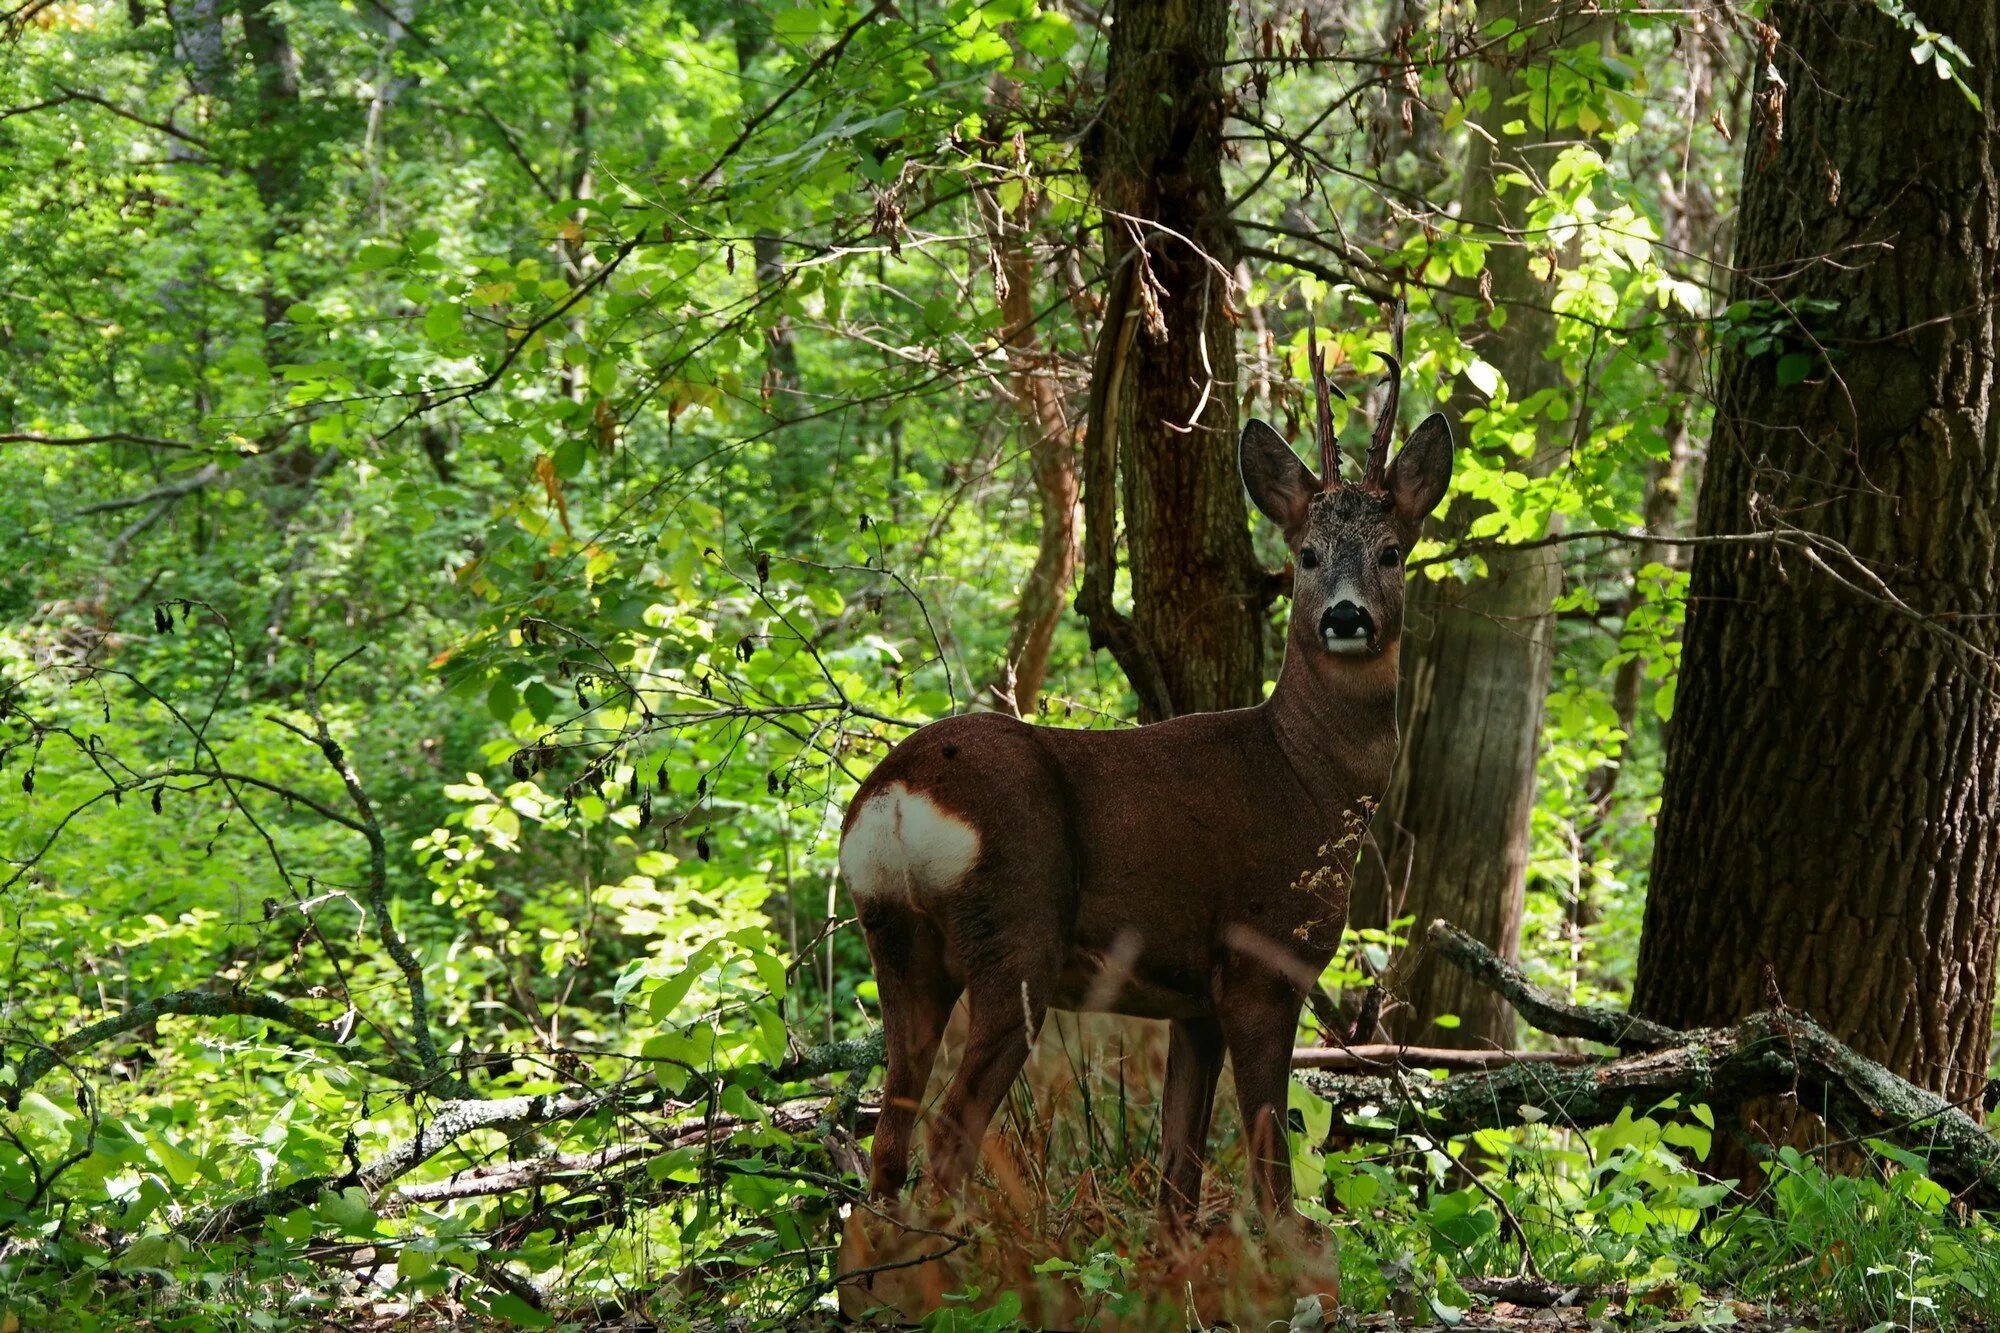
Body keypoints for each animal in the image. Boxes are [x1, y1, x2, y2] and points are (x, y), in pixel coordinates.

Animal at [832, 322, 1456, 1224]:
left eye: (1393, 552)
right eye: (1305, 554)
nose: (1346, 616)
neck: (1302, 773)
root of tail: (894, 798)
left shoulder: (1191, 999)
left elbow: (1177, 1175)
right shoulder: (1260, 959)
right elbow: (1270, 1164)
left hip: (898, 944)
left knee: (888, 1142)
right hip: (1017, 934)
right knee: (947, 1137)